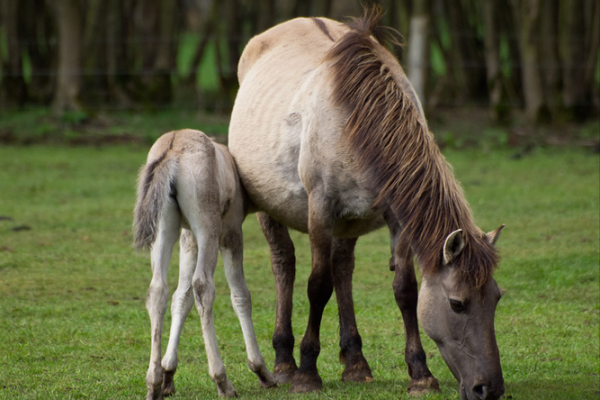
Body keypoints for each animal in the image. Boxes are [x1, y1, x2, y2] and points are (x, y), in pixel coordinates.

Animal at [132, 130, 276, 398]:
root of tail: (173, 147)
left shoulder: (188, 238)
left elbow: (182, 296)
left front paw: (168, 373)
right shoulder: (231, 233)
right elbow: (240, 295)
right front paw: (262, 370)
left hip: (164, 229)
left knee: (158, 290)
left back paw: (154, 383)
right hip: (208, 228)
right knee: (203, 286)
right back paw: (223, 380)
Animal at [230, 8, 506, 400]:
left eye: (496, 298)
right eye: (457, 303)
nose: (489, 389)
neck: (357, 118)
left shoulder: (397, 220)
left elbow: (404, 290)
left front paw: (420, 374)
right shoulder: (320, 211)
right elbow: (318, 286)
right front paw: (307, 373)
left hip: (349, 224)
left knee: (343, 269)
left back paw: (356, 364)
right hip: (270, 209)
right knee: (285, 265)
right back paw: (284, 363)